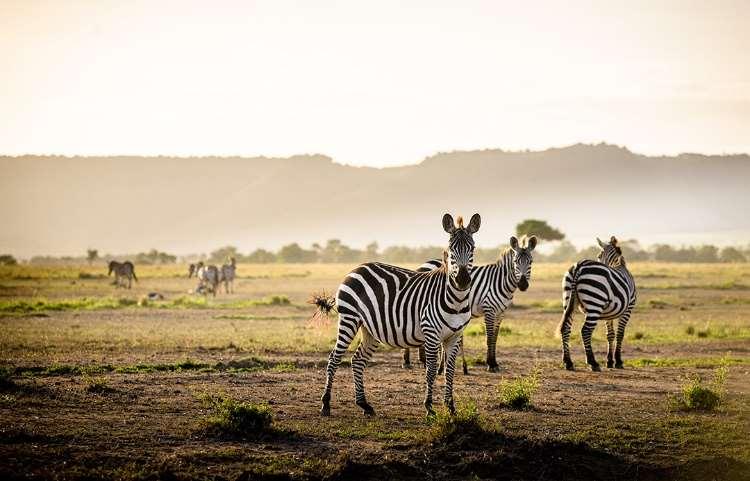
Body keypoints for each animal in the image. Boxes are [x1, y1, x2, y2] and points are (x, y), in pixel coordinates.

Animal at [312, 212, 482, 414]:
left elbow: (450, 371)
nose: (462, 280)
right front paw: (429, 407)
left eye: (472, 248)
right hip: (349, 319)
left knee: (358, 360)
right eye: (450, 249)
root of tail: (357, 268)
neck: (456, 300)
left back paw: (364, 404)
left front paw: (450, 407)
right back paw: (325, 404)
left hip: (370, 328)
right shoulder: (431, 333)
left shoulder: (455, 336)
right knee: (334, 359)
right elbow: (431, 370)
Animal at [406, 234, 540, 374]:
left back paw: (420, 361)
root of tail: (423, 265)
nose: (523, 285)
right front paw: (490, 364)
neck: (501, 281)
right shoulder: (489, 309)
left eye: (531, 262)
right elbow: (489, 337)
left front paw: (494, 363)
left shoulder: (500, 313)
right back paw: (410, 361)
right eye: (515, 262)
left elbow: (495, 338)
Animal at [560, 236, 636, 372]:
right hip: (594, 303)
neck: (618, 265)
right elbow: (620, 334)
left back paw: (568, 362)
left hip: (568, 300)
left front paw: (610, 361)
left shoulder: (609, 313)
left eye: (599, 255)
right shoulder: (628, 309)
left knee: (566, 328)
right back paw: (592, 363)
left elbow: (610, 335)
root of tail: (579, 266)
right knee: (585, 331)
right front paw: (618, 361)